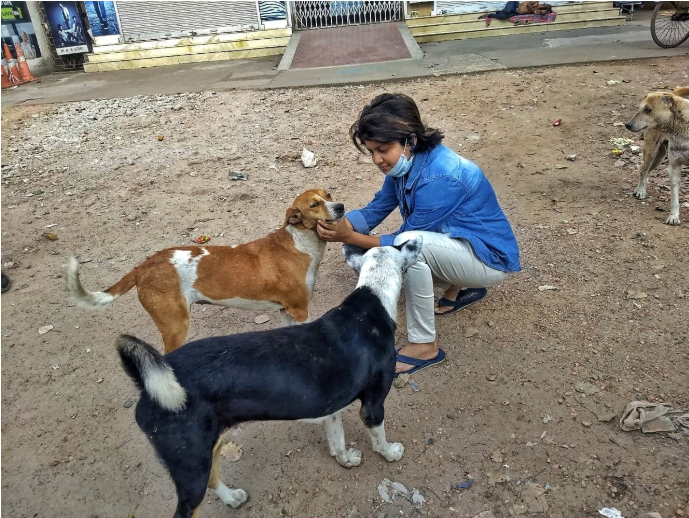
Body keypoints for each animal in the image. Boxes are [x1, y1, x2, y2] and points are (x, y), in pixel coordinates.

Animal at [66, 189, 344, 352]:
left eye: (329, 195)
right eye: (314, 205)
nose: (341, 206)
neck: (300, 243)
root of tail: (144, 265)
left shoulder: (286, 311)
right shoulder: (299, 310)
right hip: (176, 326)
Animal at [116, 237, 422, 518]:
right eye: (399, 245)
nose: (416, 238)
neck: (371, 300)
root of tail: (146, 387)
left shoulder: (330, 405)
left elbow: (337, 439)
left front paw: (345, 459)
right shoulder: (373, 404)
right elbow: (378, 437)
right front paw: (390, 452)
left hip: (206, 450)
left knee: (214, 479)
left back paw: (232, 498)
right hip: (191, 465)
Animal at [626, 86, 689, 226]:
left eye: (648, 110)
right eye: (639, 108)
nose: (627, 124)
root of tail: (672, 93)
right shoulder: (674, 167)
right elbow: (674, 199)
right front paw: (673, 217)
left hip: (658, 157)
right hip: (652, 153)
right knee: (644, 171)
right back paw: (640, 191)